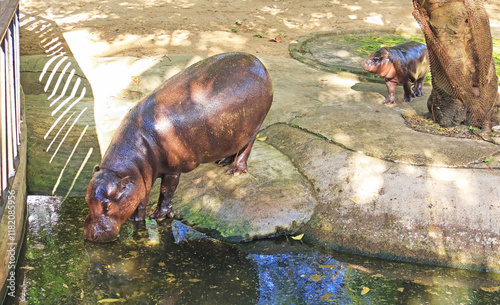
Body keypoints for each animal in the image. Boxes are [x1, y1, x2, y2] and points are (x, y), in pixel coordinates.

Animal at [85, 52, 274, 242]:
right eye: (87, 200)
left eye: (108, 206)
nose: (91, 234)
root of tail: (258, 62)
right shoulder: (140, 181)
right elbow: (140, 202)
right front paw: (140, 219)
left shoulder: (172, 170)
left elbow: (166, 191)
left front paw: (159, 215)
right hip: (232, 131)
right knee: (235, 145)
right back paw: (223, 162)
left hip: (253, 127)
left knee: (246, 147)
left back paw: (236, 170)